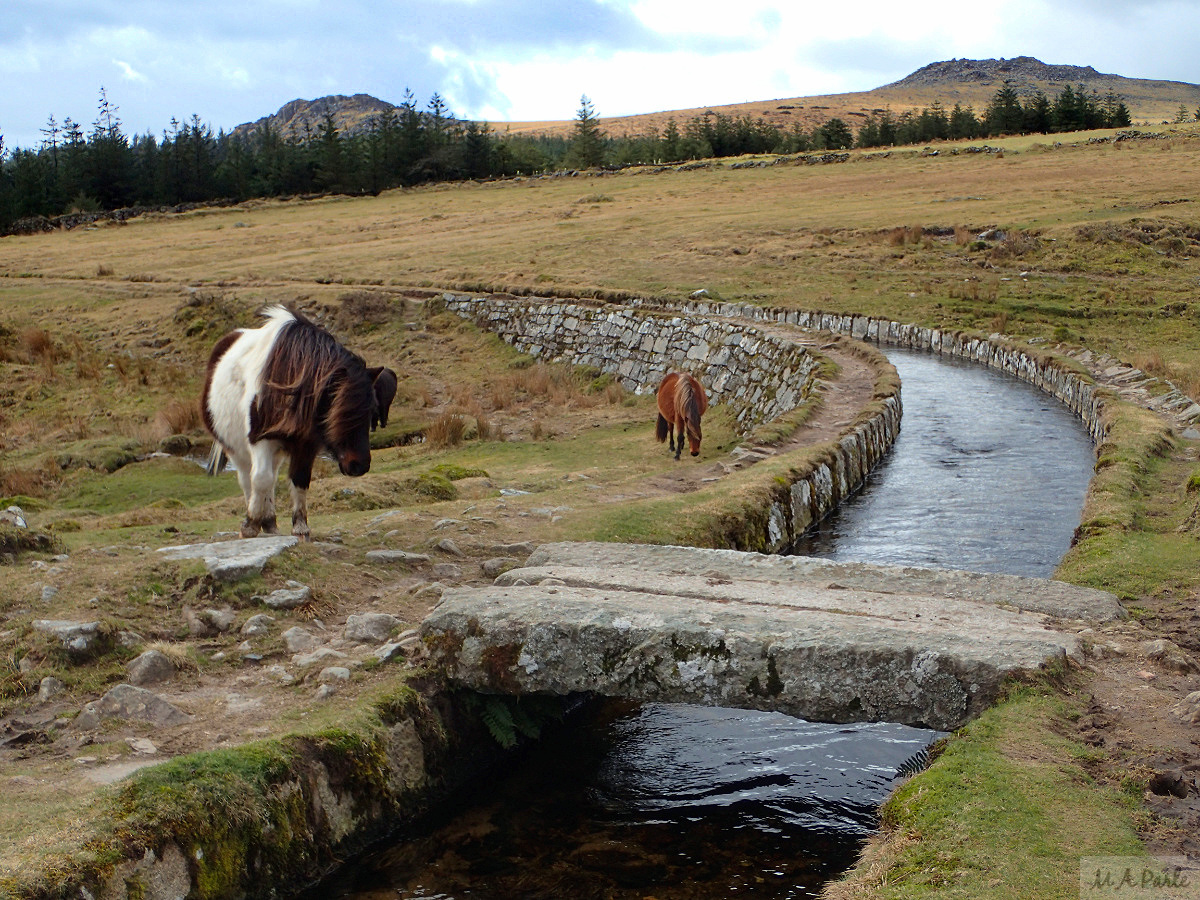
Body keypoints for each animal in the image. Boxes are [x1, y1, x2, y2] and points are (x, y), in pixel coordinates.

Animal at [201, 307, 396, 540]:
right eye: (339, 411)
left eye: (371, 410)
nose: (359, 465)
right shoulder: (260, 440)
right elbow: (260, 479)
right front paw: (249, 525)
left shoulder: (306, 444)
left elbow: (299, 480)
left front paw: (300, 527)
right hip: (236, 448)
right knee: (249, 478)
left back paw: (269, 521)